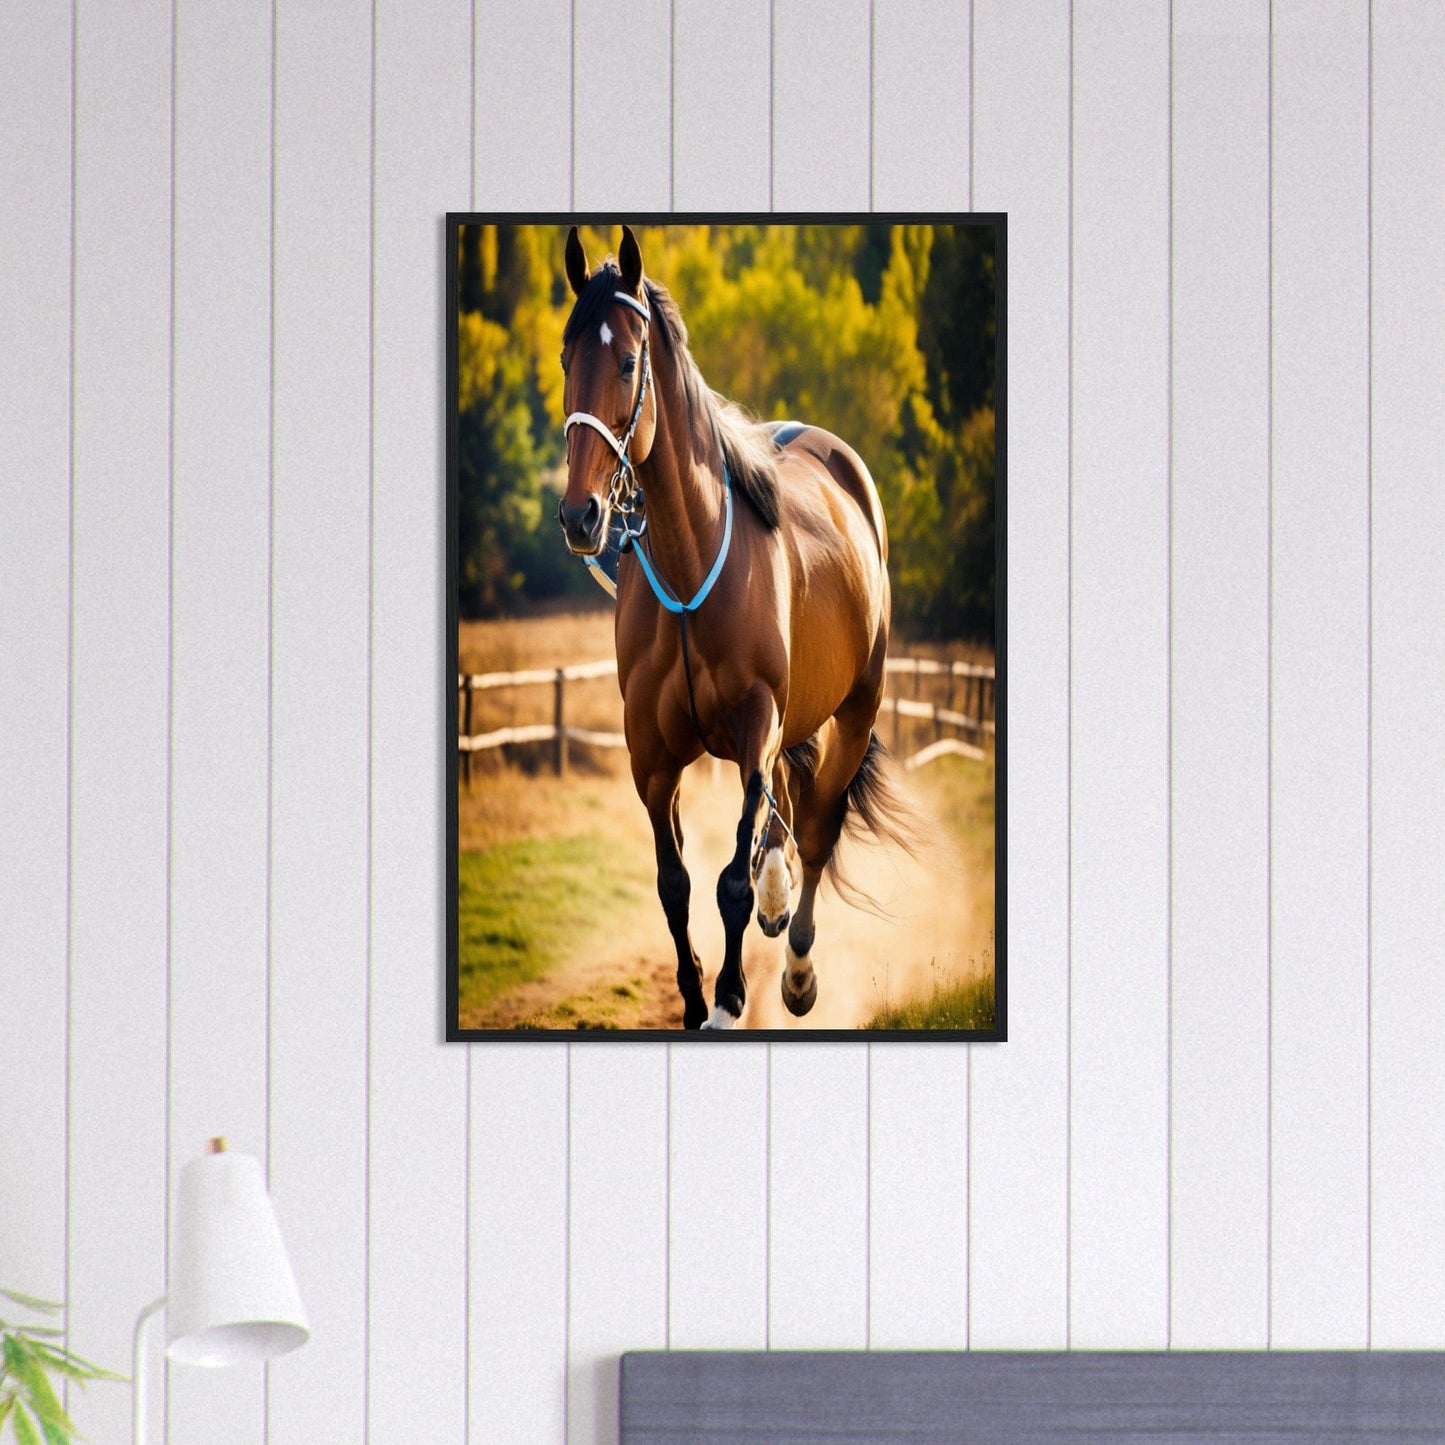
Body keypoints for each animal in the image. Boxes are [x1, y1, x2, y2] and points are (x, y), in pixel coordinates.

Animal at [557, 225, 909, 1030]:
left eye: (627, 362)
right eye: (565, 359)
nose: (581, 515)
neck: (692, 580)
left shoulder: (755, 725)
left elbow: (729, 883)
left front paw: (727, 996)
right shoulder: (651, 756)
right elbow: (675, 883)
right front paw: (692, 999)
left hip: (853, 710)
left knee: (814, 829)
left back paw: (799, 968)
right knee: (786, 813)